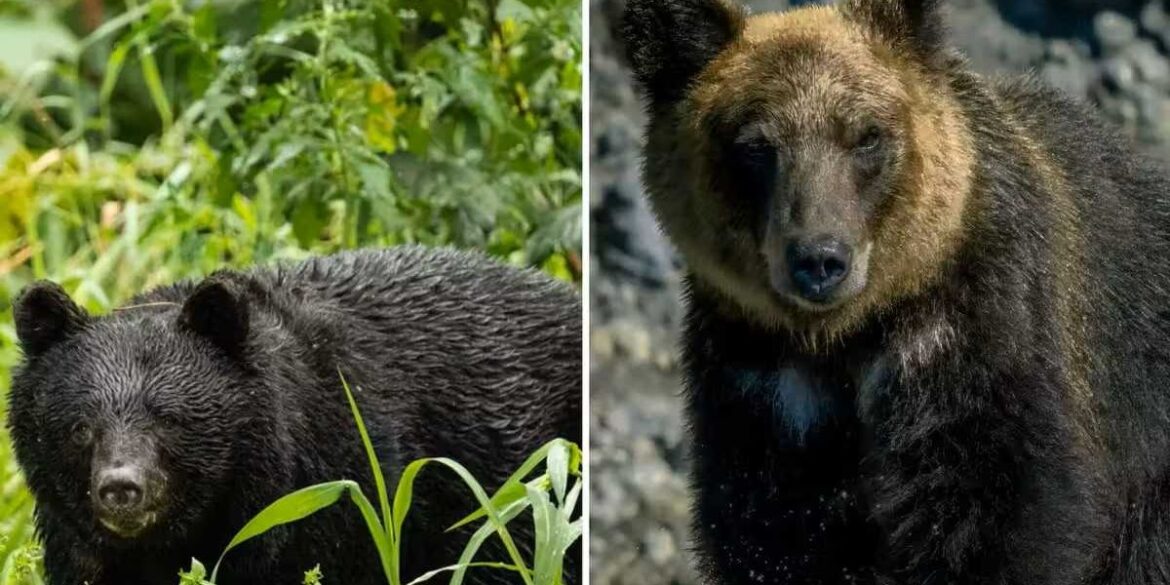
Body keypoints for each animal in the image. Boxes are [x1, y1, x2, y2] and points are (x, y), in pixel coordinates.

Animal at [622, 0, 1170, 583]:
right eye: (754, 147)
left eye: (866, 136)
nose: (819, 259)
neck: (845, 336)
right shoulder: (757, 381)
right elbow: (773, 528)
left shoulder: (980, 338)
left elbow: (997, 513)